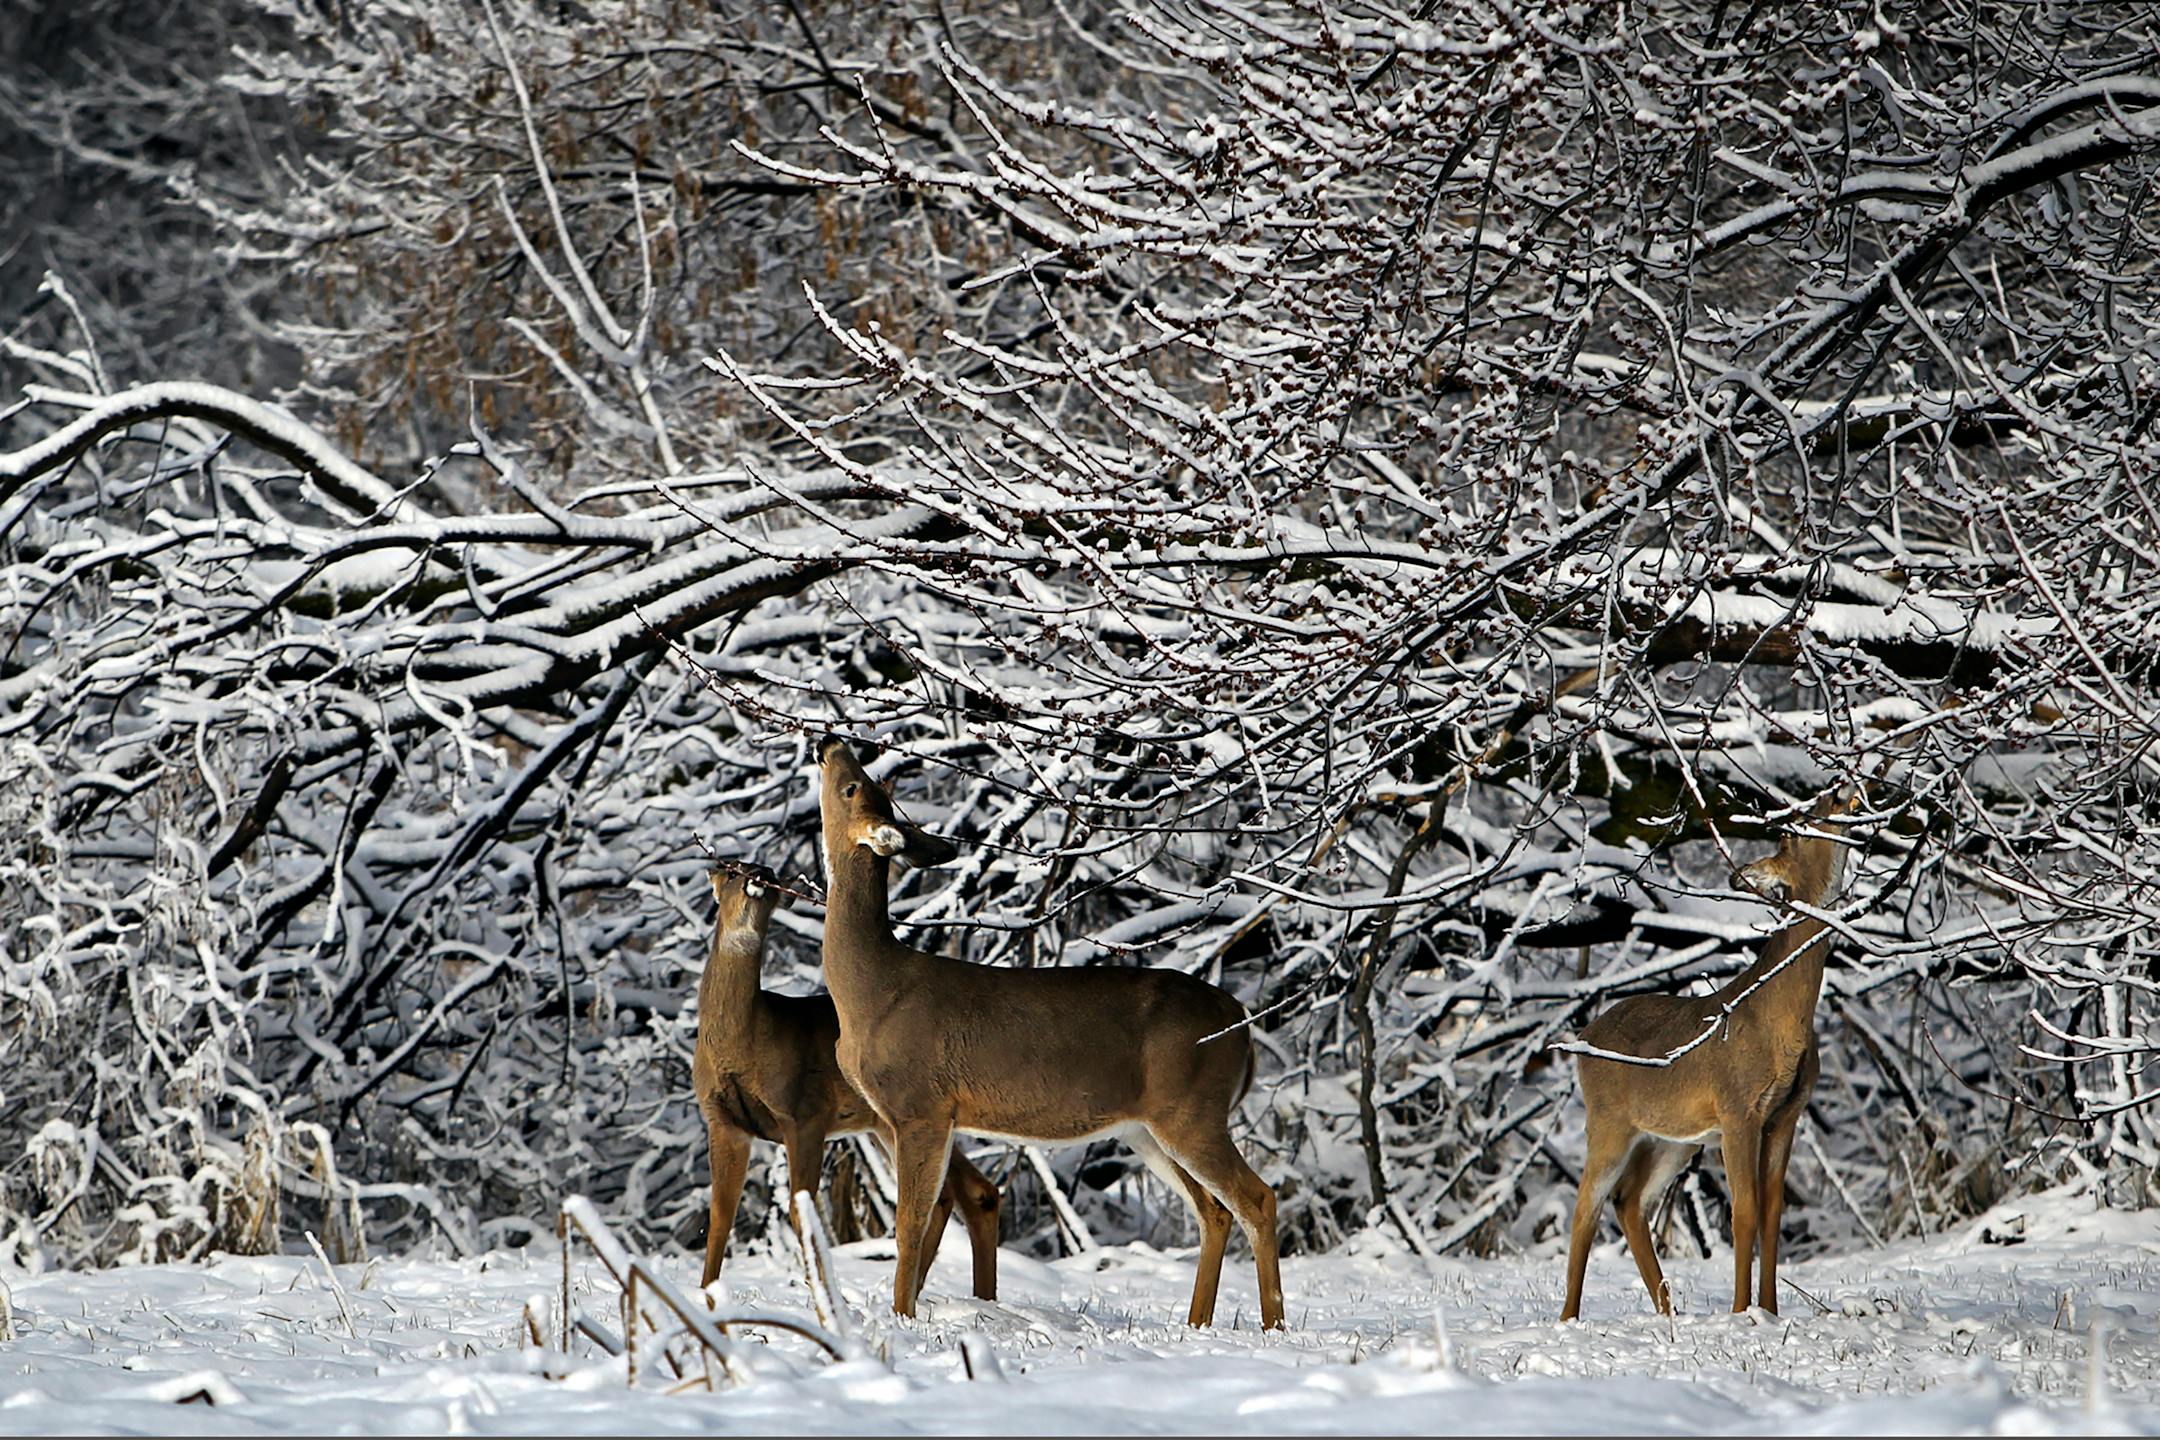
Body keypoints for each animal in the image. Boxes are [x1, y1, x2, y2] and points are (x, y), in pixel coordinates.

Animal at [692, 862, 1001, 1301]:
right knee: (966, 1193)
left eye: (769, 873)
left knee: (954, 1194)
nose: (762, 874)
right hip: (888, 1123)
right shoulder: (722, 1120)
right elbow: (721, 1213)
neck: (745, 1041)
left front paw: (821, 1293)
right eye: (732, 872)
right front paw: (705, 1294)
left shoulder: (804, 1112)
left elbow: (801, 1210)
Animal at [813, 737, 1284, 1330]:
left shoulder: (920, 1105)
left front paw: (903, 1318)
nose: (829, 742)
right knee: (1213, 1210)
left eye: (853, 786)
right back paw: (1196, 1324)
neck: (871, 990)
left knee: (1257, 1199)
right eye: (868, 782)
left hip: (1193, 1108)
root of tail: (1242, 1025)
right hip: (1147, 1127)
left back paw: (1273, 1326)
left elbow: (909, 1225)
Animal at [1559, 787, 1857, 1322]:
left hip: (1673, 1138)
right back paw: (1569, 1318)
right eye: (1792, 832)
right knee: (1585, 1206)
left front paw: (1770, 1312)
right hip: (1609, 1118)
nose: (1839, 793)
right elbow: (1744, 1212)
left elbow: (1772, 1211)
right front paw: (1742, 1313)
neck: (1780, 1019)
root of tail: (1582, 1035)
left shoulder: (1786, 1113)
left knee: (1629, 1201)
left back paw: (1667, 1311)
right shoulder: (1738, 1107)